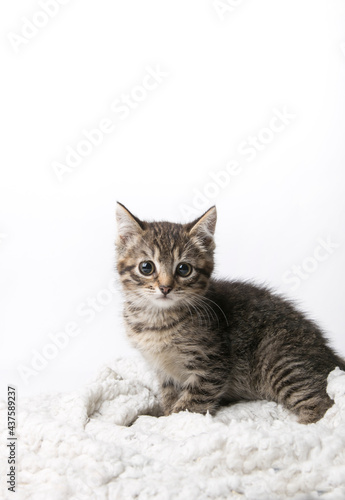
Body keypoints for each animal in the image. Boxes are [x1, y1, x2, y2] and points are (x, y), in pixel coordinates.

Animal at [115, 201, 344, 424]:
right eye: (146, 267)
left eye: (183, 269)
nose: (165, 287)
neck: (157, 319)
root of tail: (330, 354)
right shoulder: (164, 372)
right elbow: (170, 396)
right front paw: (164, 413)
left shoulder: (213, 364)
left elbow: (191, 403)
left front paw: (170, 422)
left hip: (281, 362)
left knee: (320, 404)